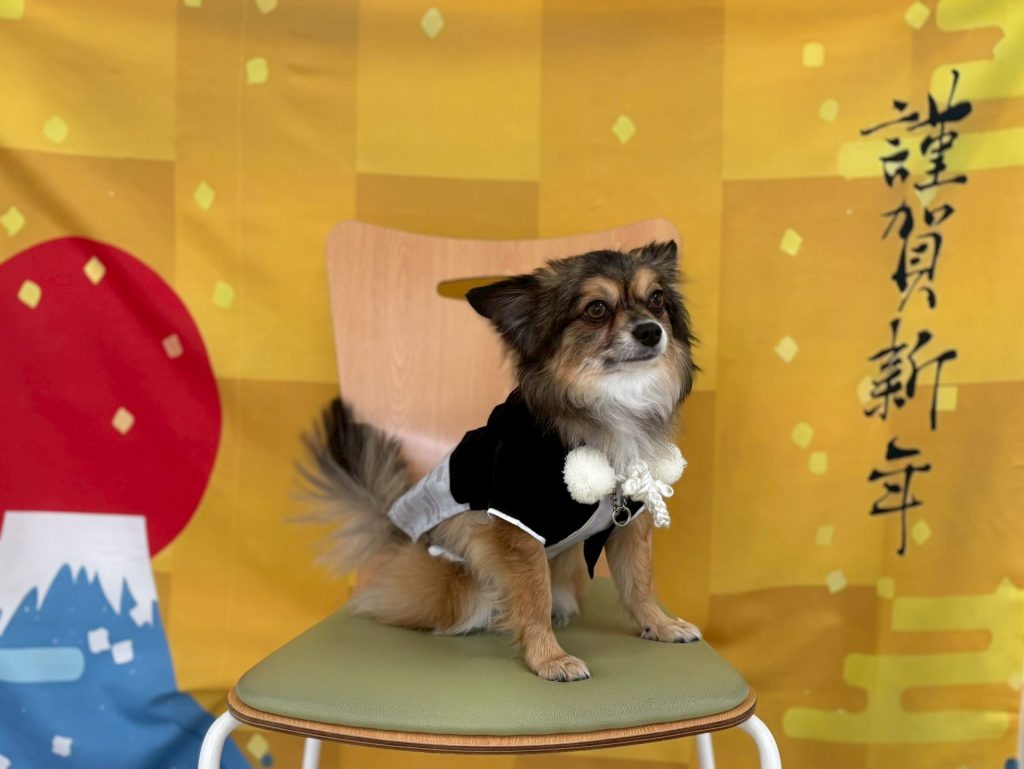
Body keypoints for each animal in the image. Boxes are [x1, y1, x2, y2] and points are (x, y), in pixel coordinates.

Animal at [301, 240, 700, 682]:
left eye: (657, 300)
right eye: (596, 309)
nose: (650, 330)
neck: (609, 405)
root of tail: (399, 539)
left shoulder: (630, 520)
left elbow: (639, 582)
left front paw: (660, 625)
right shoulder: (519, 527)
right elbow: (533, 597)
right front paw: (549, 657)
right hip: (461, 582)